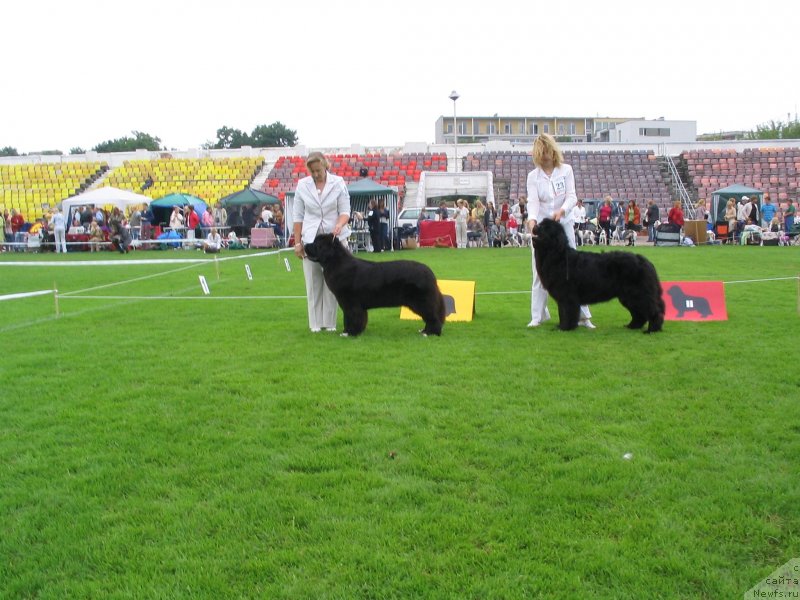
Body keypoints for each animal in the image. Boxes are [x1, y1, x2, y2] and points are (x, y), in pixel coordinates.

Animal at [304, 233, 446, 338]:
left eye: (316, 244)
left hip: (422, 301)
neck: (336, 262)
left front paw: (349, 333)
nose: (304, 245)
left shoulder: (351, 303)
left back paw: (430, 333)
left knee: (432, 316)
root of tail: (430, 273)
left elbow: (351, 317)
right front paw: (353, 331)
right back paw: (425, 331)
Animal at [536, 220, 664, 332]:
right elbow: (562, 312)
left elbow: (567, 312)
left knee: (653, 310)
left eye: (546, 228)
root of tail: (645, 261)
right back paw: (632, 326)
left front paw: (565, 328)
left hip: (639, 293)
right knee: (639, 314)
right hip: (628, 296)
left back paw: (652, 329)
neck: (558, 256)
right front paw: (561, 326)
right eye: (541, 224)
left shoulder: (567, 295)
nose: (535, 226)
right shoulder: (562, 296)